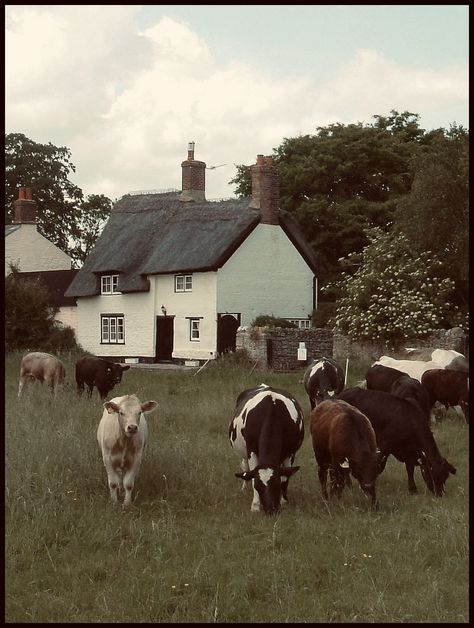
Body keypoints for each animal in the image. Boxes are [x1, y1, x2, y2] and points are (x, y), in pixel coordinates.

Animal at [229, 382, 304, 516]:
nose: (271, 511)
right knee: (245, 469)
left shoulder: (290, 453)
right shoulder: (251, 450)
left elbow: (285, 477)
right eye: (258, 488)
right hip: (243, 454)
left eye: (277, 485)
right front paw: (255, 506)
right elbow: (252, 476)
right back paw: (243, 488)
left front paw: (284, 501)